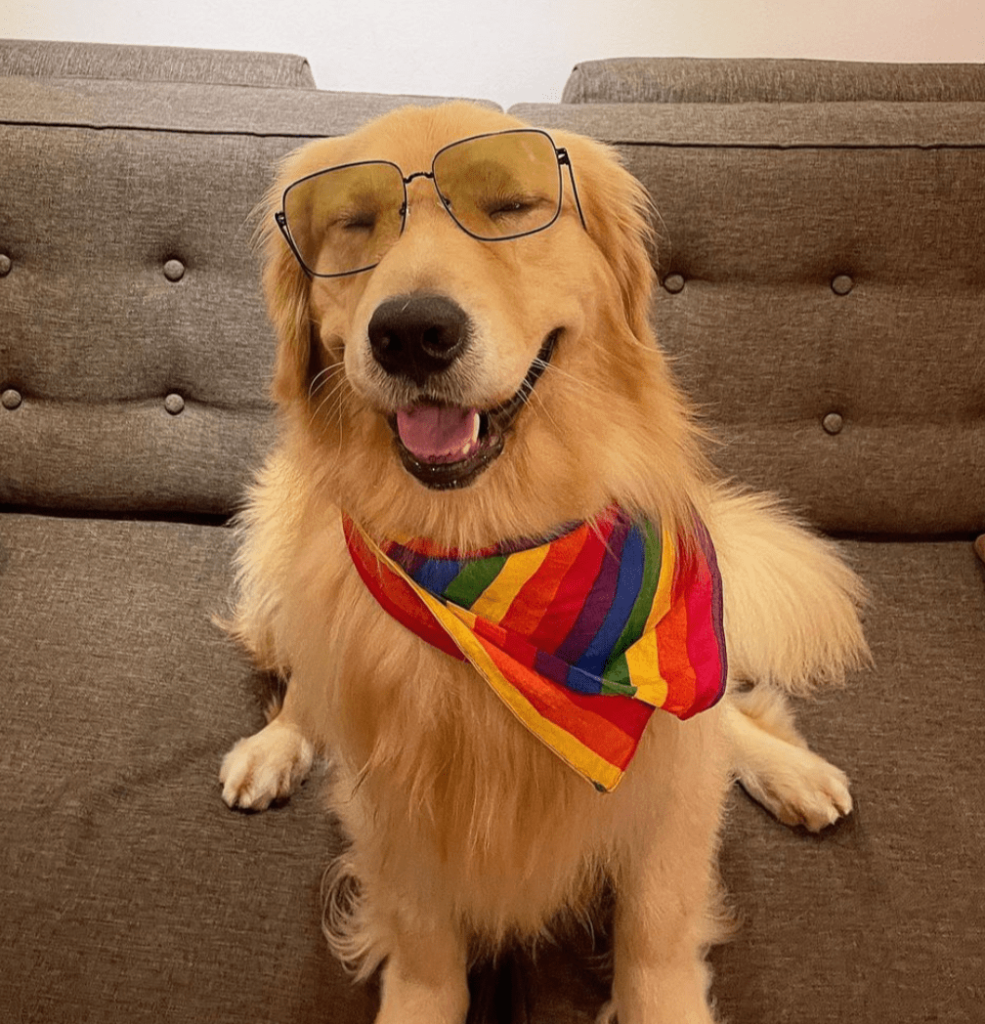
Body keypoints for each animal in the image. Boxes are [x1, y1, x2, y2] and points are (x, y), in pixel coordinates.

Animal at [219, 101, 864, 1024]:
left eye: (511, 208)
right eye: (353, 223)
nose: (411, 333)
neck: (492, 545)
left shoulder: (666, 791)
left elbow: (655, 936)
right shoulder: (393, 803)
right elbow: (424, 950)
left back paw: (792, 771)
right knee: (306, 687)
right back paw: (273, 747)